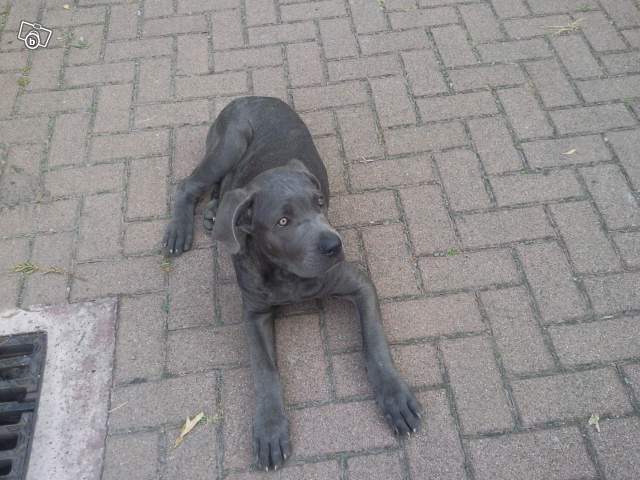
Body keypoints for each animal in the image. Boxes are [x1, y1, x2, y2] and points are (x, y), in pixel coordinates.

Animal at [163, 96, 422, 471]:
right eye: (283, 221)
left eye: (319, 203)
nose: (334, 245)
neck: (286, 274)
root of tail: (250, 96)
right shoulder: (254, 312)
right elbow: (265, 370)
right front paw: (270, 428)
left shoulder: (359, 282)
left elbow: (375, 345)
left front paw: (394, 397)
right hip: (230, 142)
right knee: (191, 184)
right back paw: (184, 226)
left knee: (223, 189)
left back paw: (213, 213)